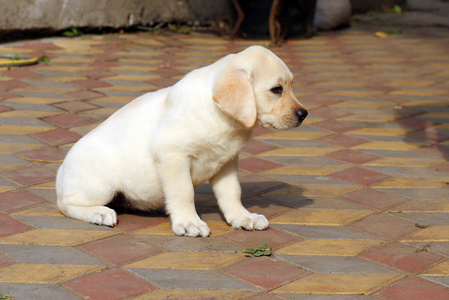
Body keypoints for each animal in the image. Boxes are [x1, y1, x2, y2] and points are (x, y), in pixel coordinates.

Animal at [56, 45, 306, 237]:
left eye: (292, 85)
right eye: (276, 89)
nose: (304, 114)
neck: (218, 115)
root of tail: (60, 173)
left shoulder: (227, 162)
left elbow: (232, 192)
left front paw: (243, 217)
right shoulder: (173, 156)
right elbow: (184, 192)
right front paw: (189, 223)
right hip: (100, 186)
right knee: (66, 204)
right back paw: (99, 212)